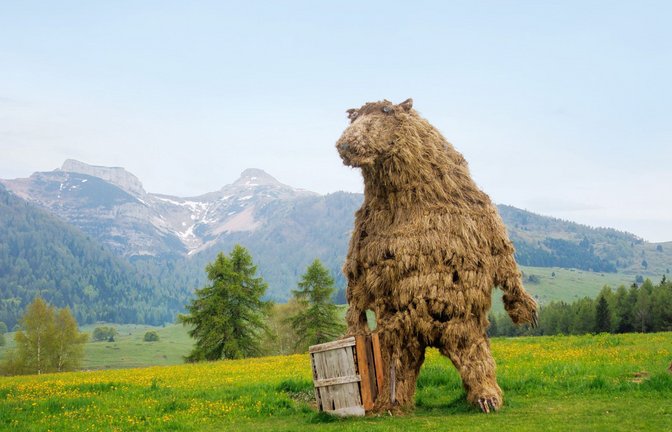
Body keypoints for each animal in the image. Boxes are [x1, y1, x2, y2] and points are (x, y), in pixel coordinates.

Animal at [336, 98, 538, 413]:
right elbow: (356, 294)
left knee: (473, 353)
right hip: (401, 329)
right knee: (400, 361)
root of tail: (429, 335)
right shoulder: (362, 240)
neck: (408, 202)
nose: (345, 144)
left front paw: (525, 309)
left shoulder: (484, 219)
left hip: (459, 324)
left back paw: (486, 397)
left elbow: (504, 260)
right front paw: (353, 332)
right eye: (353, 117)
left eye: (387, 111)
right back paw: (390, 405)